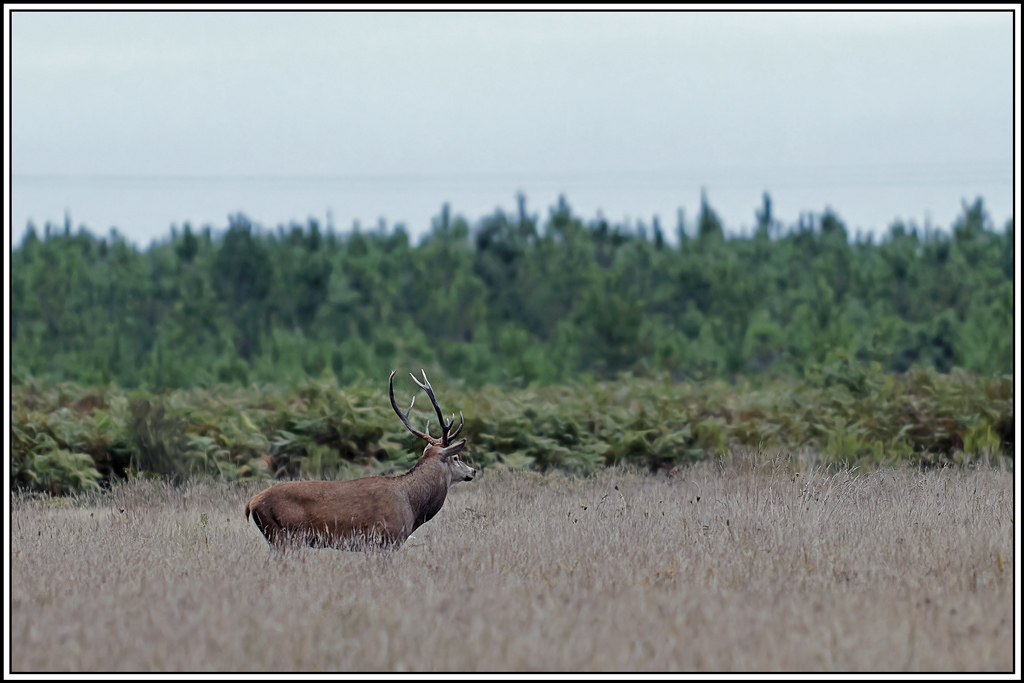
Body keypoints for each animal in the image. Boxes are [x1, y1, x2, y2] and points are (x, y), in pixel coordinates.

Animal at [245, 370, 475, 550]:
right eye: (456, 457)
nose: (472, 471)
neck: (412, 504)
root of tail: (251, 504)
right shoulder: (387, 538)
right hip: (283, 536)